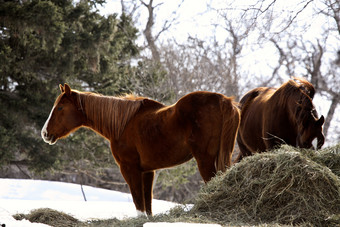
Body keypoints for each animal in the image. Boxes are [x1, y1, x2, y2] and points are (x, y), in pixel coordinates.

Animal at [41, 84, 240, 215]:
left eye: (60, 107)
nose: (45, 133)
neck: (122, 123)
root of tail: (223, 100)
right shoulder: (147, 172)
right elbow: (148, 207)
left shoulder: (130, 169)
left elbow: (139, 206)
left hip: (205, 160)